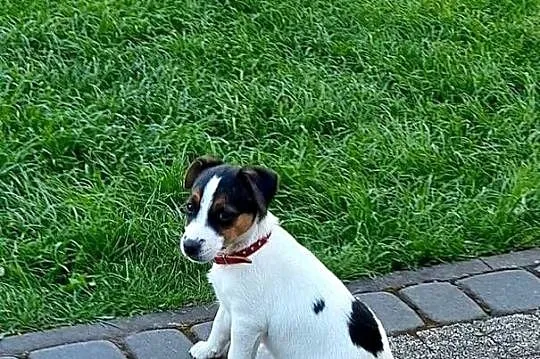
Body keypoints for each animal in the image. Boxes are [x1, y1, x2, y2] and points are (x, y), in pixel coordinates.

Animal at [179, 155, 394, 359]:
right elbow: (219, 328)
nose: (189, 246)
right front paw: (208, 349)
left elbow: (236, 351)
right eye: (190, 207)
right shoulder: (228, 305)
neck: (247, 251)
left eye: (224, 215)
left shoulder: (247, 323)